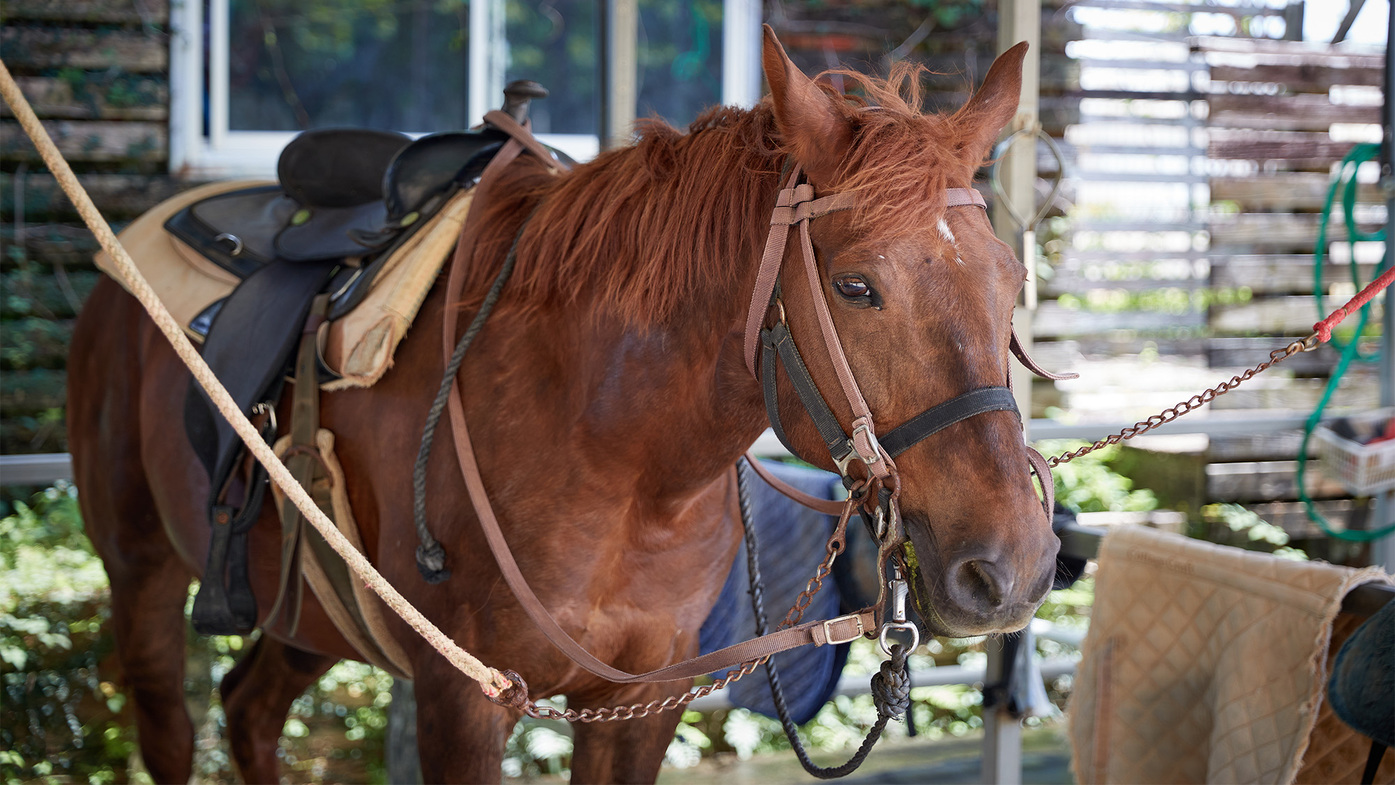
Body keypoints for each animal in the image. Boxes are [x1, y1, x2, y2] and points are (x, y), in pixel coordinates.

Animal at [68, 30, 1054, 785]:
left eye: (1012, 280)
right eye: (855, 286)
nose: (1010, 566)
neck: (621, 459)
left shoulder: (639, 700)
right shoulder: (463, 698)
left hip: (308, 610)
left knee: (248, 709)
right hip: (141, 570)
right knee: (172, 724)